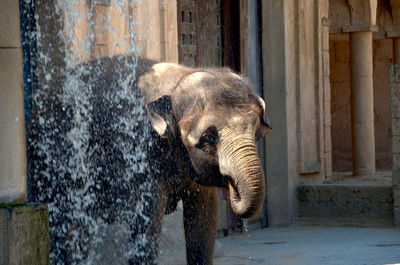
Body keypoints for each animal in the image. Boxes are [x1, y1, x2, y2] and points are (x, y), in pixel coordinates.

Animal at [28, 54, 270, 262]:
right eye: (208, 137)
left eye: (256, 129)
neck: (178, 80)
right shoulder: (139, 155)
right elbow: (147, 223)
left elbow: (203, 224)